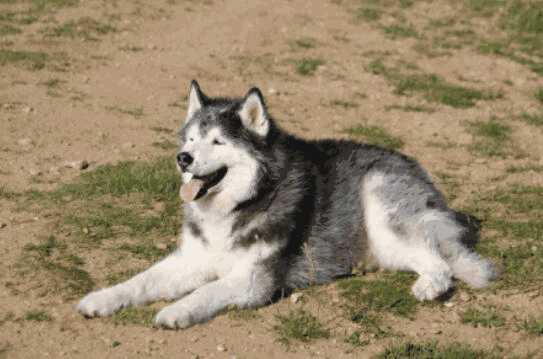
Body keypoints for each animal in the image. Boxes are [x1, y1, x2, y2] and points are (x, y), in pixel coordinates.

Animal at [76, 81, 498, 330]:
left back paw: (428, 286)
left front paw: (175, 311)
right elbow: (141, 280)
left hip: (383, 209)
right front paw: (102, 298)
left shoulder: (254, 280)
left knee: (441, 264)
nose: (183, 158)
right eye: (192, 138)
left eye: (217, 142)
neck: (241, 203)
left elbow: (205, 292)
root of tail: (420, 171)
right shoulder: (192, 259)